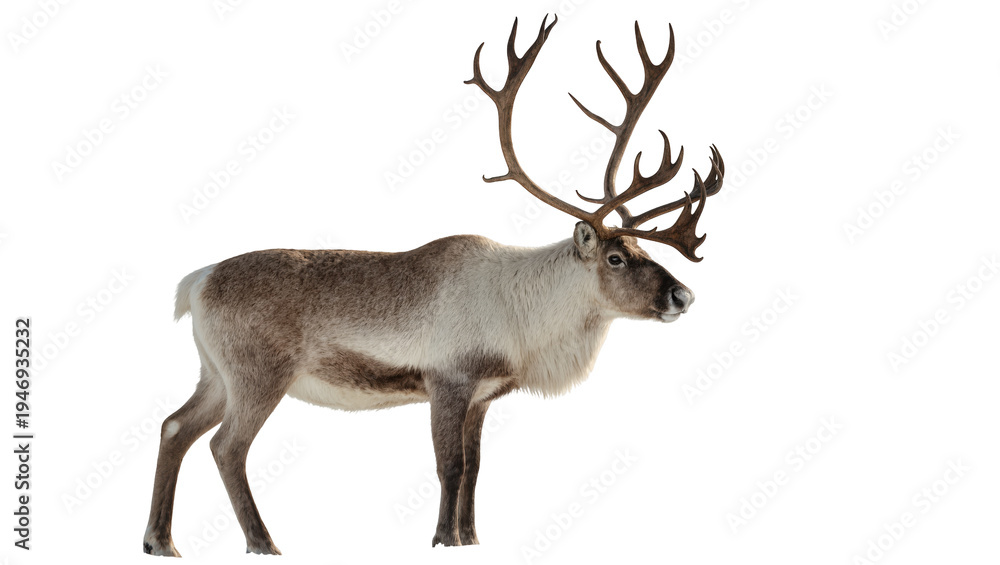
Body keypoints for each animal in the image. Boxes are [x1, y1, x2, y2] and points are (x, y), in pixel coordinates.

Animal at [143, 15, 725, 556]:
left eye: (645, 252)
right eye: (616, 257)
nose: (683, 295)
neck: (525, 315)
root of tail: (196, 281)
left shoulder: (484, 397)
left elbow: (476, 467)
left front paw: (470, 538)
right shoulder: (448, 380)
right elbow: (450, 465)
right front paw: (444, 540)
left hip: (215, 372)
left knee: (174, 427)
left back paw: (160, 541)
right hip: (258, 374)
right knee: (226, 447)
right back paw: (263, 543)